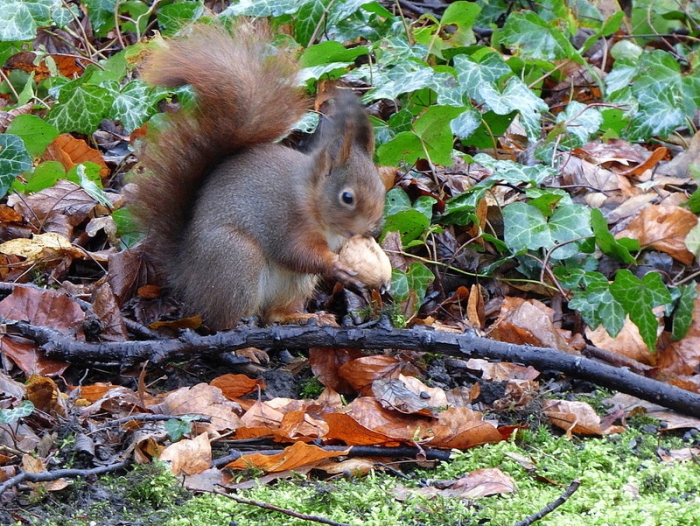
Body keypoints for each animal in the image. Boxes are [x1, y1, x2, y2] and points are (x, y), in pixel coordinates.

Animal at [131, 22, 387, 330]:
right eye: (347, 197)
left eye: (382, 189)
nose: (373, 231)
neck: (311, 197)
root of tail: (188, 275)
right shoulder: (285, 222)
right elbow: (296, 253)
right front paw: (336, 266)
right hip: (238, 260)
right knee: (224, 320)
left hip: (294, 284)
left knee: (274, 313)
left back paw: (308, 317)